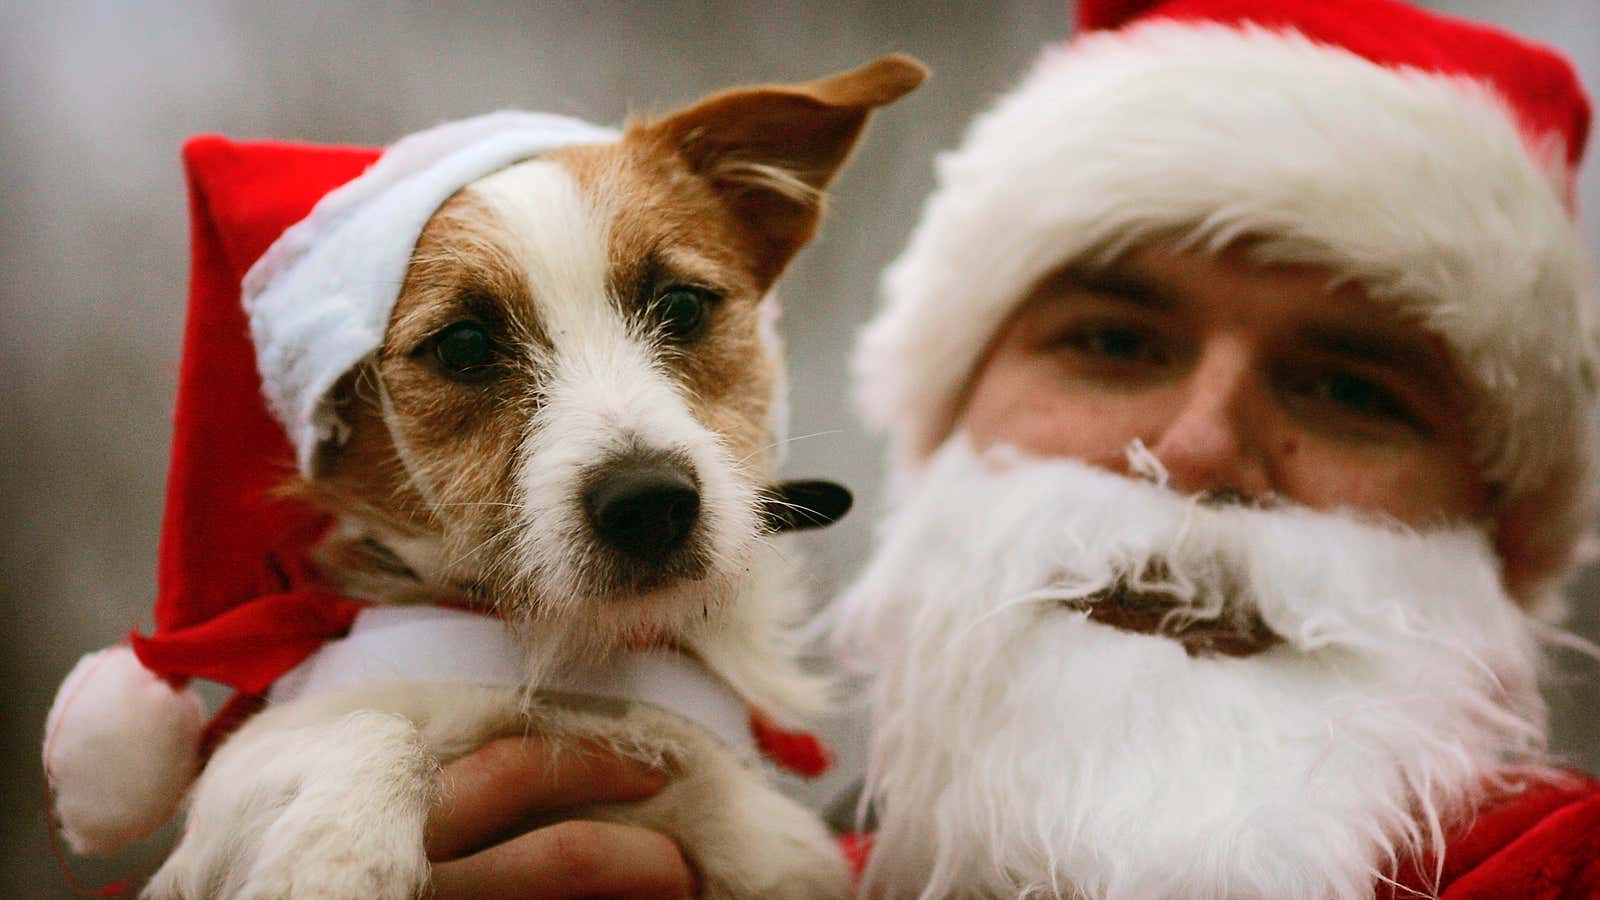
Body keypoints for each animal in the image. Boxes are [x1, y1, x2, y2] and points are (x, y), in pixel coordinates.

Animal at [150, 57, 934, 896]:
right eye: (463, 345)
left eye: (683, 306)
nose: (648, 504)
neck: (577, 663)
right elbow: (370, 725)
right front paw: (334, 859)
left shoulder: (769, 847)